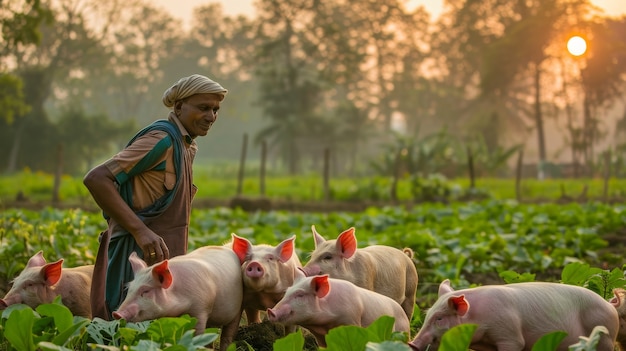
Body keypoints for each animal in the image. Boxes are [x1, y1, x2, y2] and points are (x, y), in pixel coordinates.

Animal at [111, 246, 241, 351]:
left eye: (145, 291)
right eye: (129, 288)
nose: (116, 313)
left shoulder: (201, 309)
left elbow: (198, 334)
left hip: (238, 307)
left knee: (228, 333)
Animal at [266, 270, 410, 348]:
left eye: (300, 294)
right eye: (287, 292)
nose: (270, 311)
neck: (325, 324)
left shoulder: (351, 322)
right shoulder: (320, 336)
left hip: (402, 334)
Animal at [408, 280, 616, 351]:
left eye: (439, 318)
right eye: (427, 315)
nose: (412, 343)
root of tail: (609, 304)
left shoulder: (510, 336)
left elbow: (515, 343)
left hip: (604, 337)